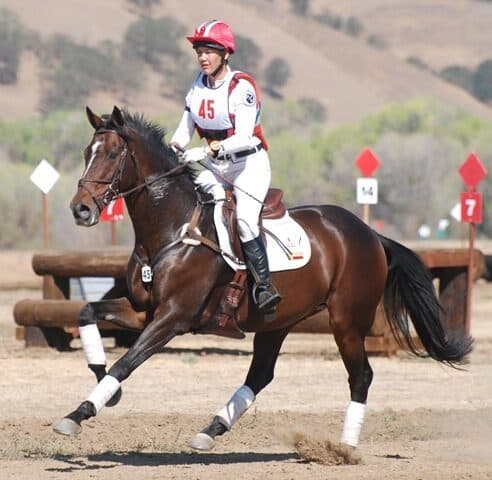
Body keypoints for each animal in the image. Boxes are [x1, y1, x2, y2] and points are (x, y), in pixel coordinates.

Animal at [53, 105, 473, 450]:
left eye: (112, 154)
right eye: (86, 153)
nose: (80, 209)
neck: (172, 229)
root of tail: (370, 234)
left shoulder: (173, 318)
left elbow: (127, 363)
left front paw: (79, 413)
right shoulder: (143, 310)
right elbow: (87, 313)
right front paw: (102, 383)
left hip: (346, 322)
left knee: (361, 376)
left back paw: (345, 447)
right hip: (278, 321)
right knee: (261, 374)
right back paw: (211, 430)